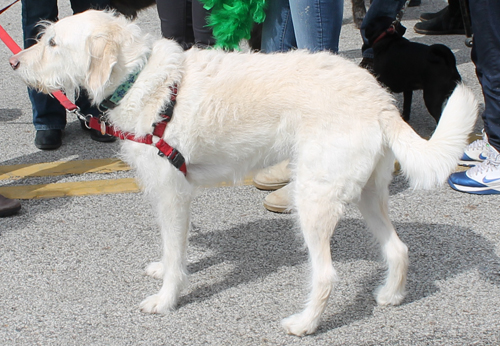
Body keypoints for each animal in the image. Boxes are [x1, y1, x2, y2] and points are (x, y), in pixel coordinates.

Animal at [6, 10, 476, 336]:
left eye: (52, 42)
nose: (13, 63)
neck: (140, 79)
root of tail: (379, 101)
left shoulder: (172, 192)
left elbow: (175, 253)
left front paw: (166, 299)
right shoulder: (171, 193)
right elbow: (172, 247)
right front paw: (166, 269)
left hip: (314, 199)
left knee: (326, 275)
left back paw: (305, 324)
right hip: (366, 194)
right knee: (398, 248)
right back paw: (391, 295)